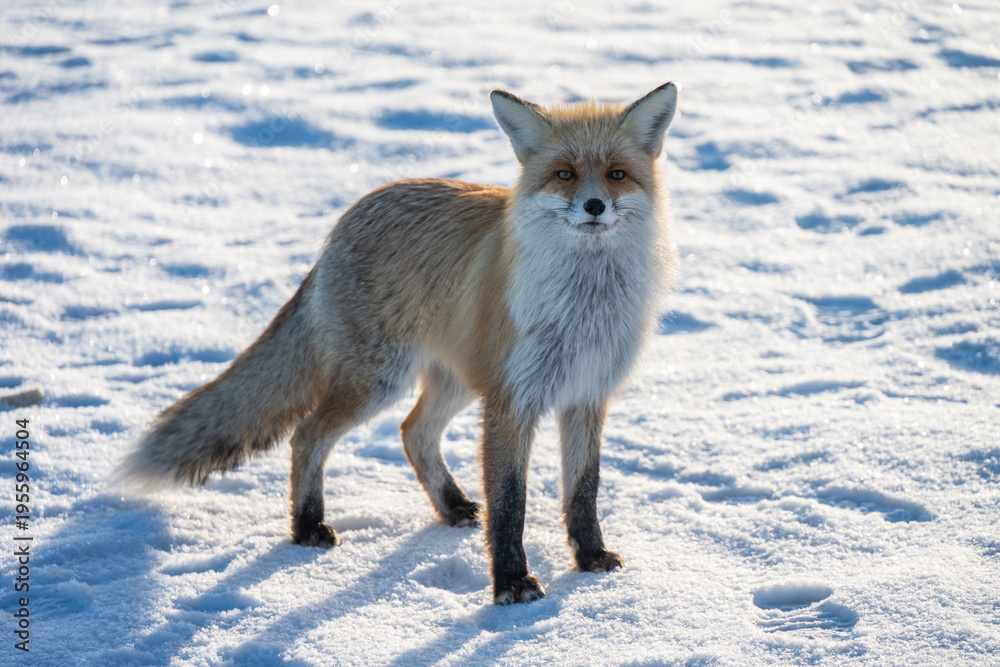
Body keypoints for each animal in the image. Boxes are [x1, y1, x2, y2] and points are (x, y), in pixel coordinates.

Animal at [123, 83, 679, 604]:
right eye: (564, 174)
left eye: (617, 174)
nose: (594, 206)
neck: (585, 307)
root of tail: (345, 220)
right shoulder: (511, 399)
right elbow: (510, 504)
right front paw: (511, 585)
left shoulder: (587, 394)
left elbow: (583, 492)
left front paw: (590, 558)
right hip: (380, 381)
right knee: (307, 434)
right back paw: (306, 526)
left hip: (455, 381)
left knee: (413, 432)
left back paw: (451, 506)